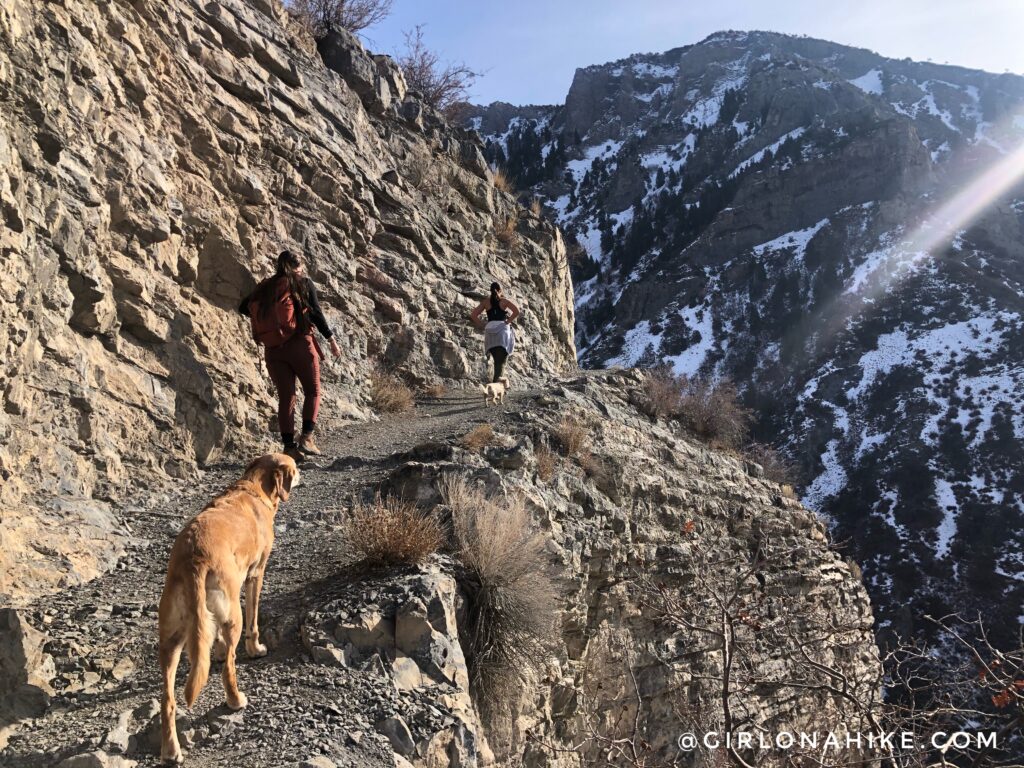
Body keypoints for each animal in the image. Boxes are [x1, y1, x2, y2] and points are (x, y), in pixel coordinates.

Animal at [157, 454, 299, 761]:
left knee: (168, 699)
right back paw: (236, 700)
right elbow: (254, 621)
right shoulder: (255, 575)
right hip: (233, 613)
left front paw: (218, 652)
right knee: (229, 668)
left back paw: (171, 749)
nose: (302, 472)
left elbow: (214, 639)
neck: (254, 487)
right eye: (294, 468)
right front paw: (256, 649)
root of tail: (193, 560)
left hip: (170, 638)